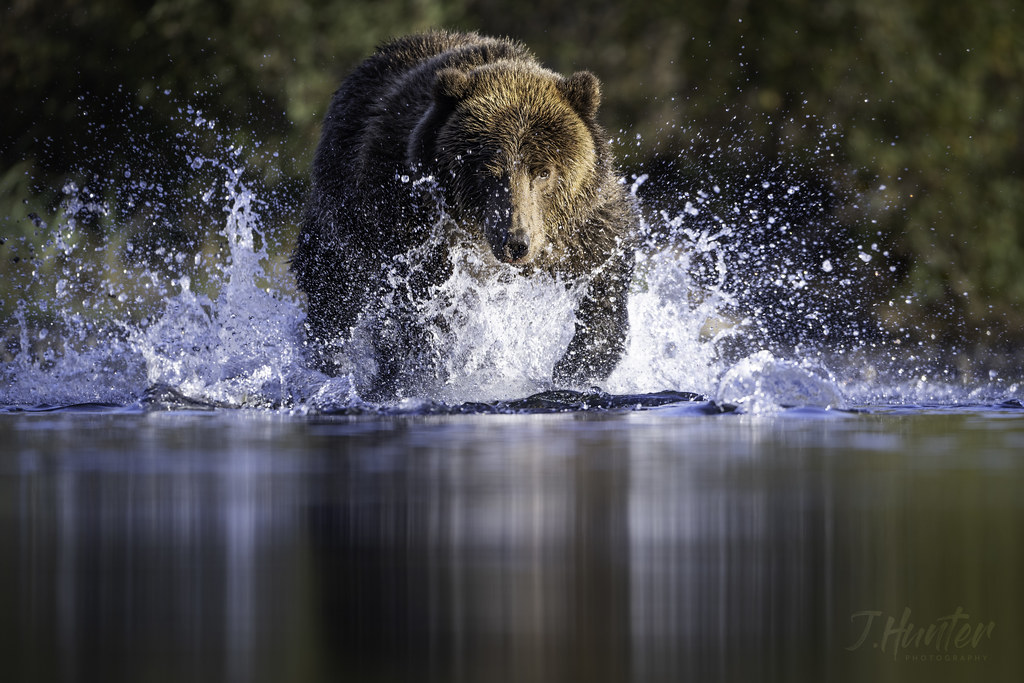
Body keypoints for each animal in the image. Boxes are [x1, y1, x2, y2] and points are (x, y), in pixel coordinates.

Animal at [291, 31, 640, 398]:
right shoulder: (409, 223)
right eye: (488, 170)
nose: (516, 242)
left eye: (543, 171)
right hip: (338, 216)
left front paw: (577, 366)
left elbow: (607, 275)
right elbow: (416, 307)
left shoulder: (581, 224)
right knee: (331, 294)